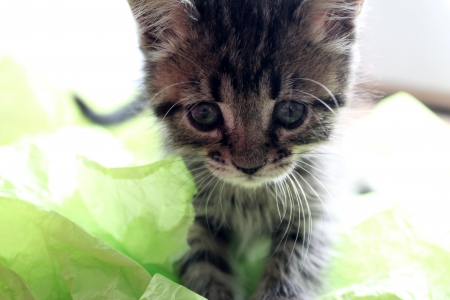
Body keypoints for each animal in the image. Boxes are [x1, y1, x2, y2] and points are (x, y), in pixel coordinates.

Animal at [79, 1, 364, 298]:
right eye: (204, 114)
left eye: (290, 111)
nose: (249, 166)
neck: (250, 197)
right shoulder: (193, 215)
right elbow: (203, 267)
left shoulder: (314, 211)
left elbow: (294, 269)